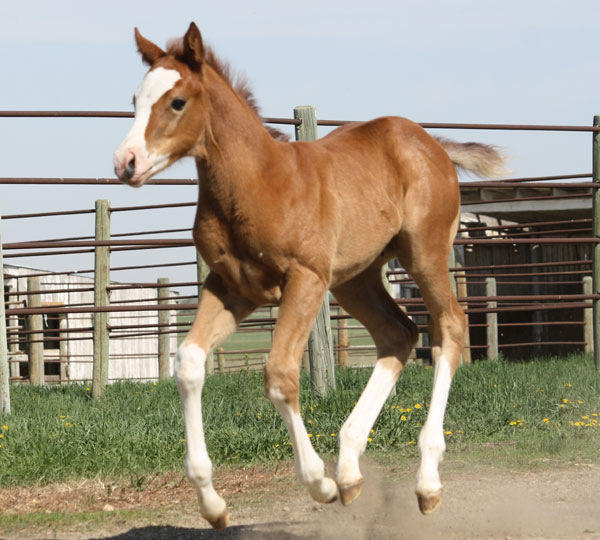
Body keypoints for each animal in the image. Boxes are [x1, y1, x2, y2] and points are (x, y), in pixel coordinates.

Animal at [113, 23, 506, 528]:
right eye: (135, 99)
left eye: (177, 102)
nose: (126, 162)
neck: (257, 184)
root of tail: (432, 143)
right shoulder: (230, 287)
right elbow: (188, 364)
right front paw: (212, 503)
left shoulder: (305, 279)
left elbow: (280, 373)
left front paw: (318, 482)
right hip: (355, 278)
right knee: (398, 334)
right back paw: (351, 470)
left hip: (424, 254)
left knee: (449, 329)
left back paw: (425, 482)